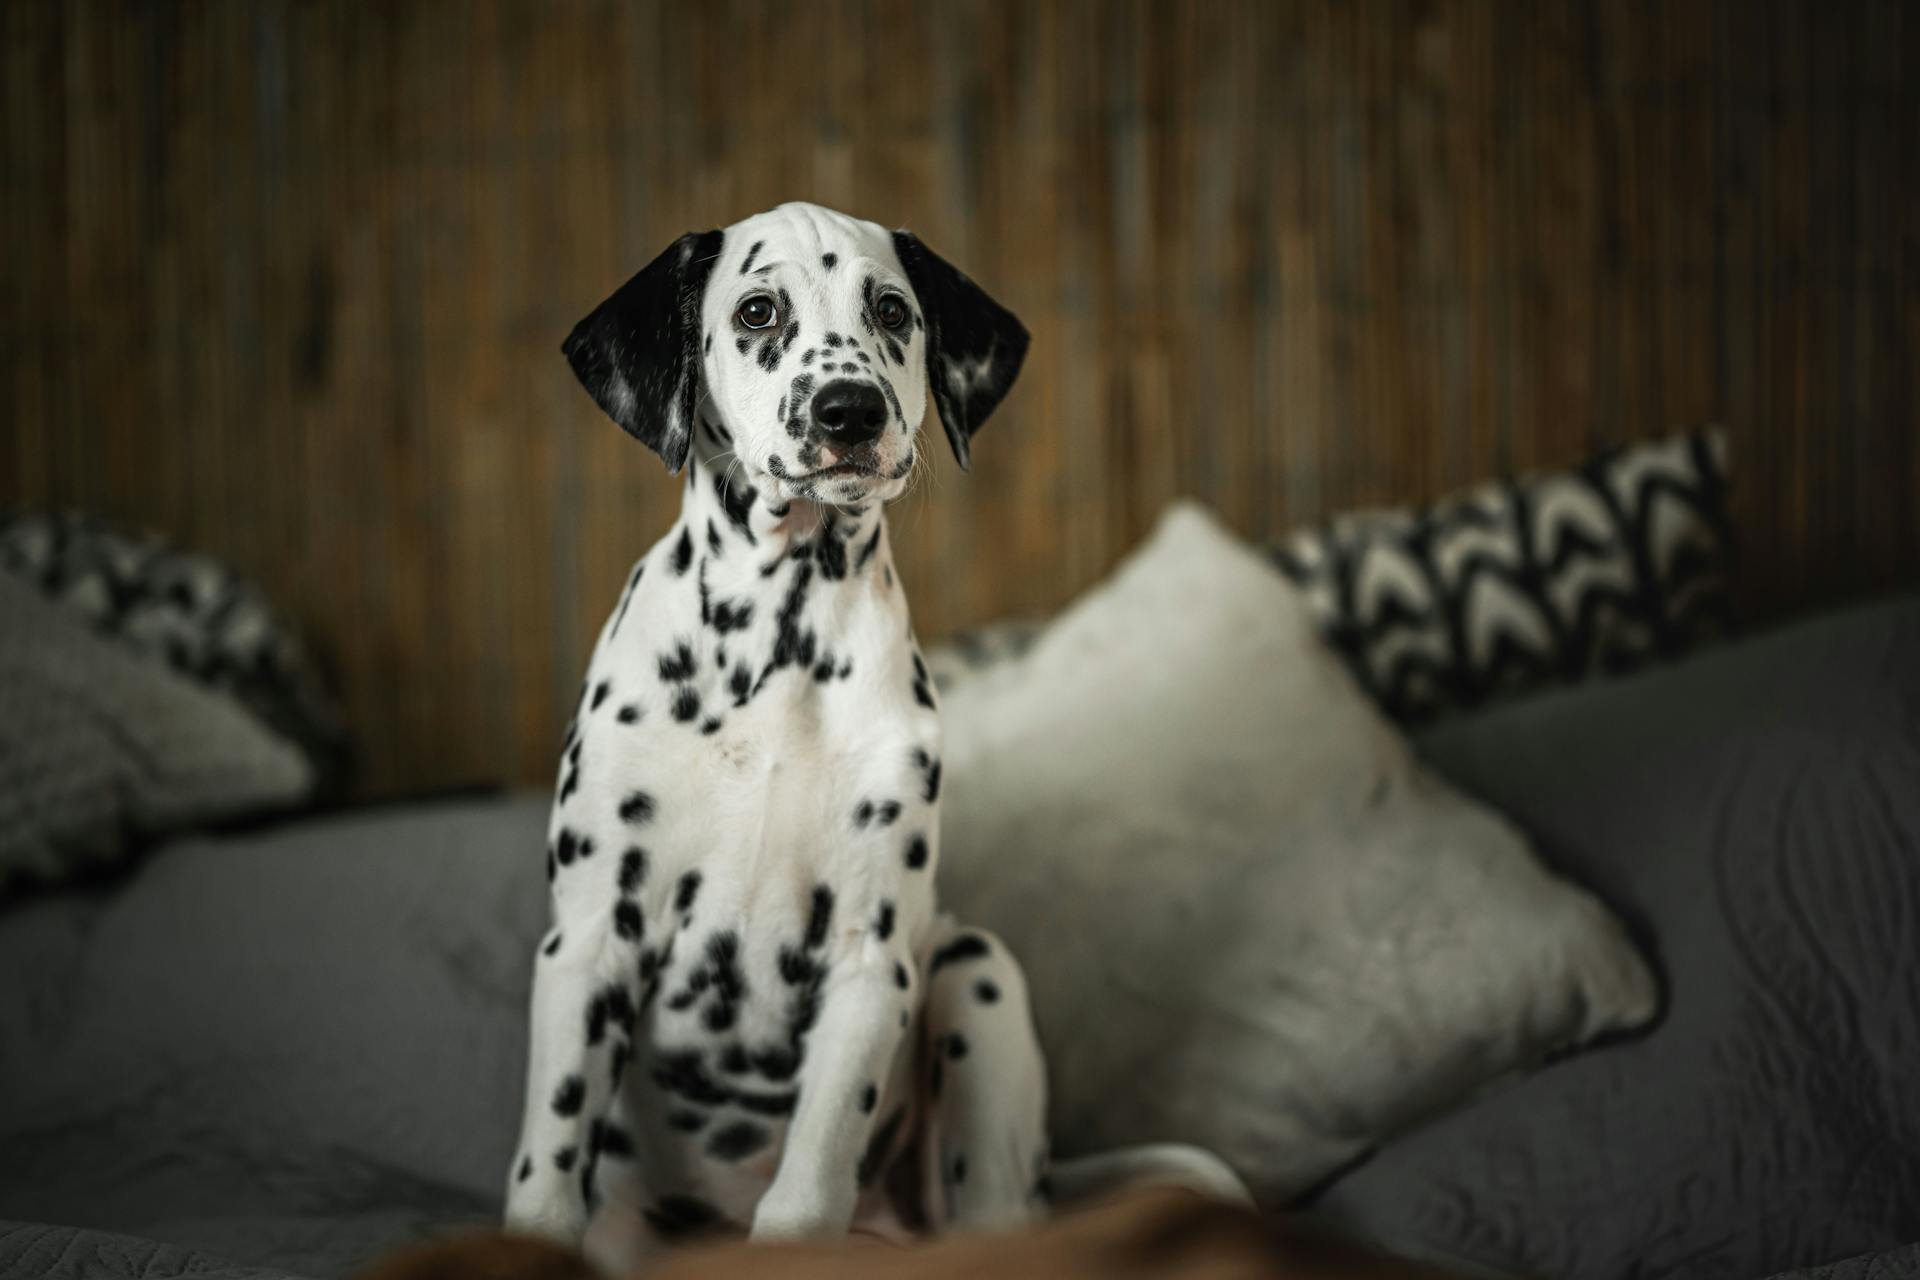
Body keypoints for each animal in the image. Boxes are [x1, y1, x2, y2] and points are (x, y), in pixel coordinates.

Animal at [503, 202, 1236, 1274]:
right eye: (758, 311)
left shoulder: (867, 958)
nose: (847, 411)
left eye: (891, 309)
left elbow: (809, 1182)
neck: (775, 645)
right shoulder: (591, 940)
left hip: (975, 972)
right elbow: (551, 1163)